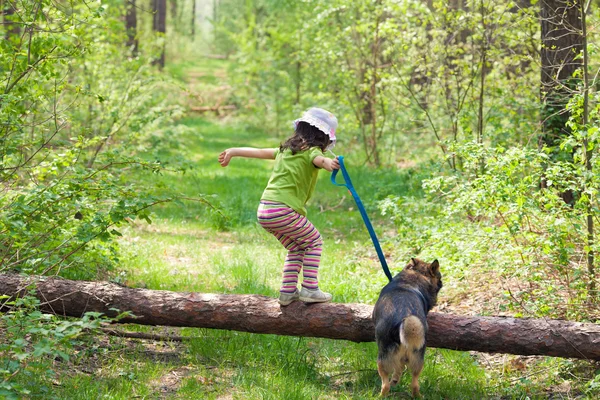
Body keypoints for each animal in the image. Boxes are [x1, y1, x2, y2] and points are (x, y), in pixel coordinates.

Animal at [372, 260, 442, 396]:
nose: (441, 283)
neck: (417, 275)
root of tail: (405, 318)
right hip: (417, 360)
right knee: (413, 383)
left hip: (383, 360)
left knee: (385, 384)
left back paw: (381, 395)